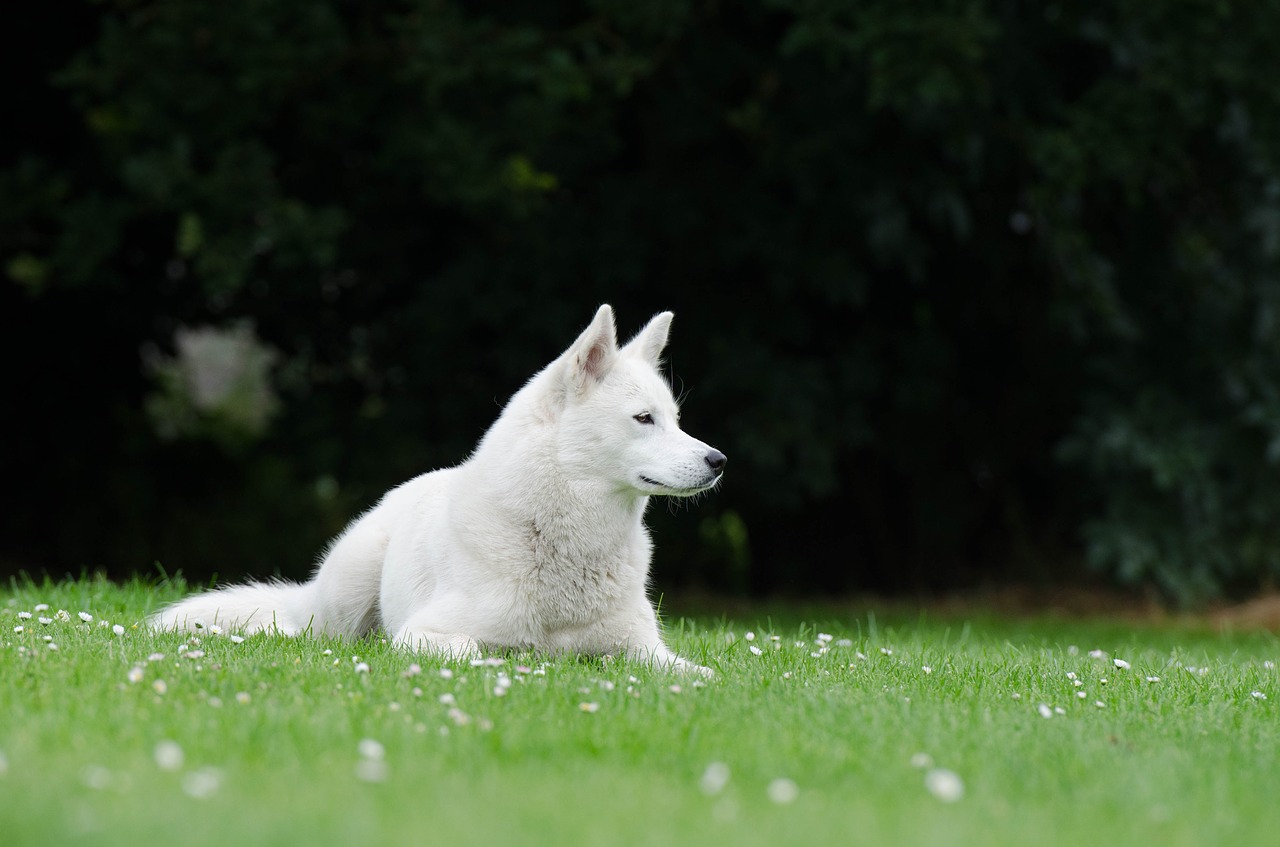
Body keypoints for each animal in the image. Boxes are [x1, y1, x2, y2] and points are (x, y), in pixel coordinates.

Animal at [152, 308, 721, 675]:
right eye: (643, 419)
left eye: (675, 419)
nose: (719, 462)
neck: (560, 540)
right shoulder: (425, 634)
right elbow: (480, 651)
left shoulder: (645, 649)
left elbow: (697, 675)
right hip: (344, 598)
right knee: (304, 629)